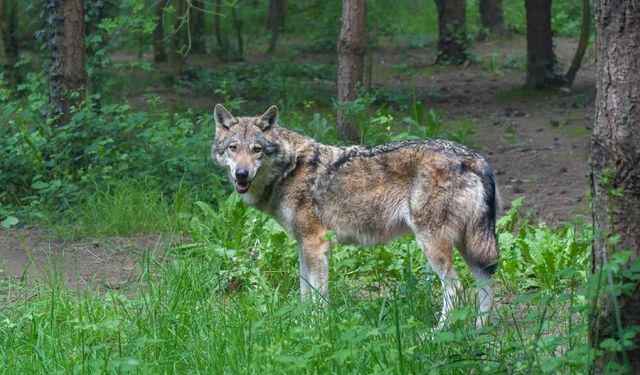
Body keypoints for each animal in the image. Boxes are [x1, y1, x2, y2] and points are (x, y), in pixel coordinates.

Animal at [211, 104, 500, 328]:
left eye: (256, 149)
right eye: (233, 148)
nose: (241, 174)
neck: (290, 169)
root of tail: (475, 158)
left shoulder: (316, 244)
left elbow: (318, 296)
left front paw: (316, 327)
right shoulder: (303, 245)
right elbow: (305, 293)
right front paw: (301, 325)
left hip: (434, 244)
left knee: (456, 288)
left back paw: (436, 333)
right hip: (470, 246)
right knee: (486, 284)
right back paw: (478, 331)